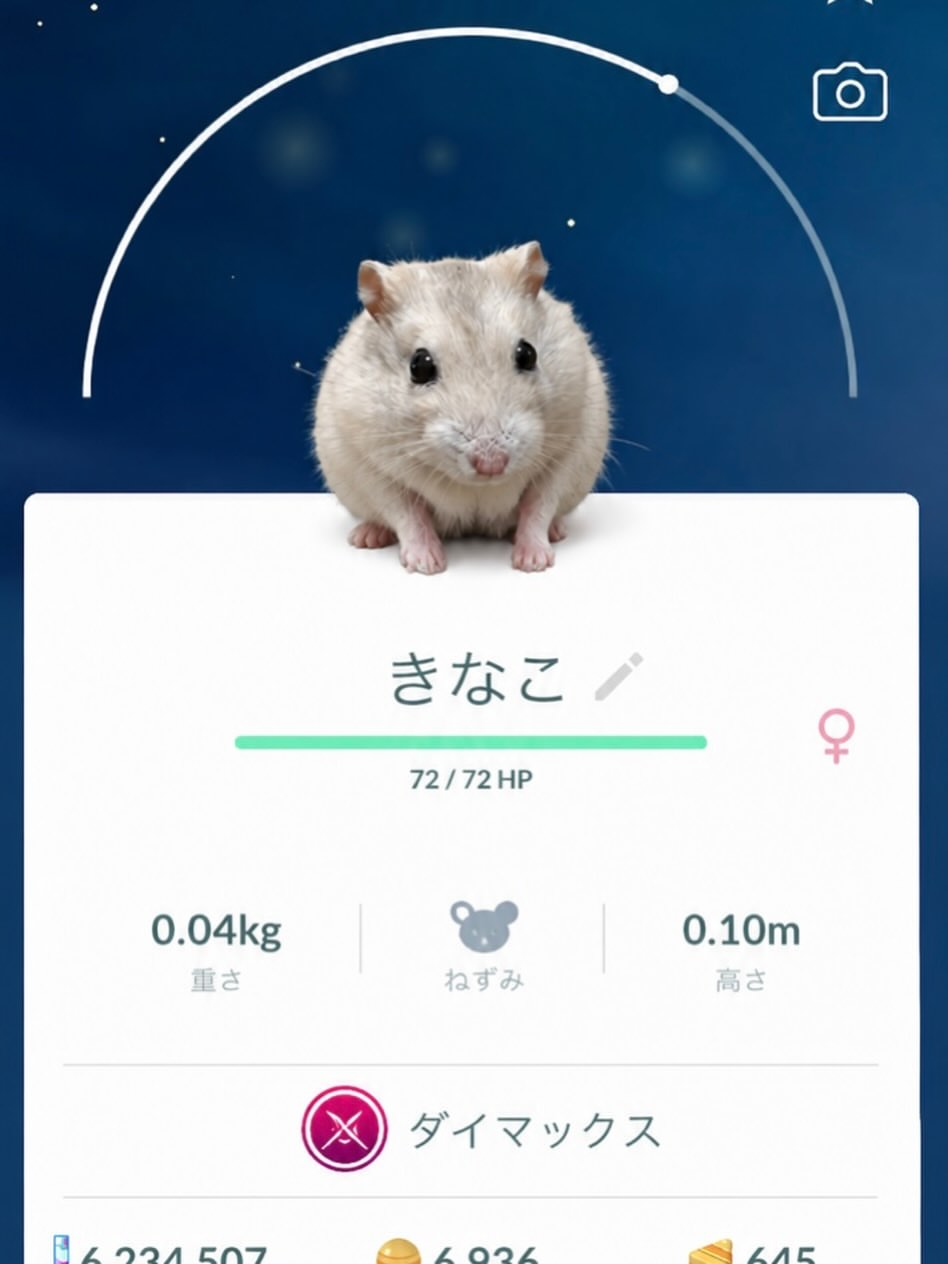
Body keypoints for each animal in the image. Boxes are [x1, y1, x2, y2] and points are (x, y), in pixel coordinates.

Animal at [312, 241, 610, 574]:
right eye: (419, 366)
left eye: (528, 354)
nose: (492, 465)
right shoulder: (371, 467)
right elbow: (407, 514)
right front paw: (427, 566)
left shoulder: (567, 453)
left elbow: (539, 506)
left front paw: (533, 563)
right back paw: (367, 537)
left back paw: (556, 532)